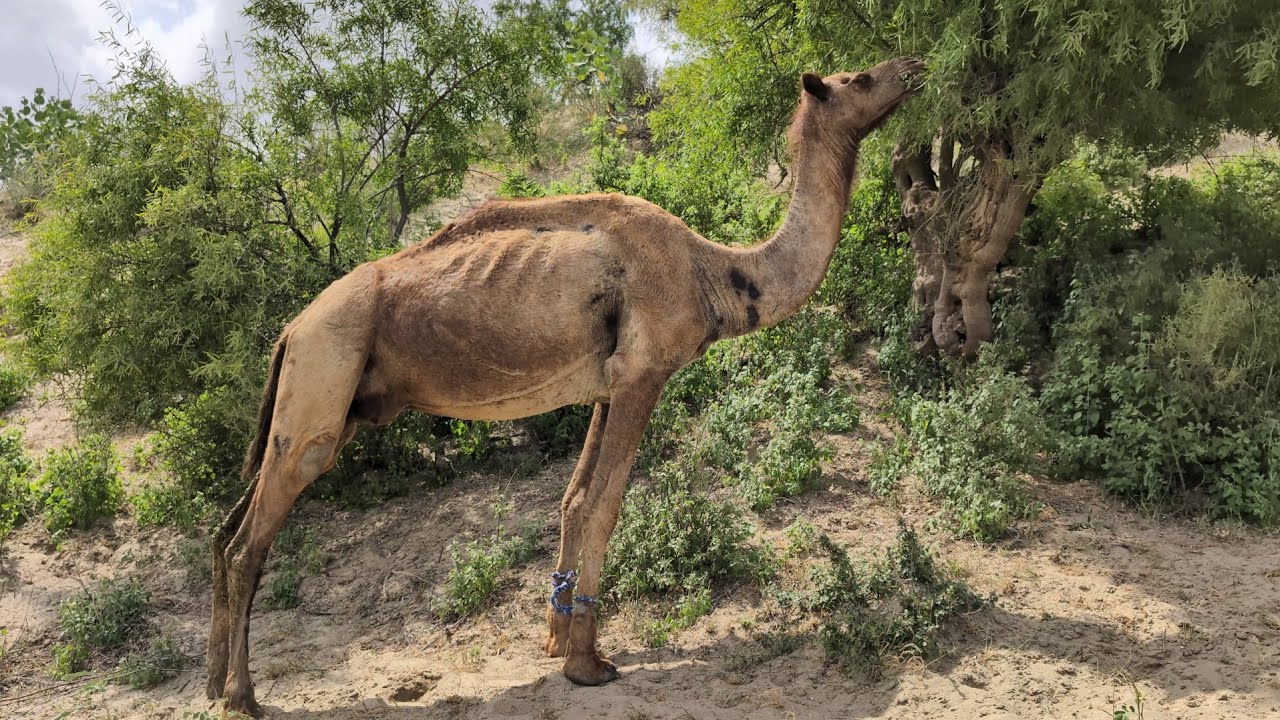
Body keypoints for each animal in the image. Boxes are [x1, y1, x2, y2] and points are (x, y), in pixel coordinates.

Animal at [206, 56, 924, 716]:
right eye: (859, 78)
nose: (914, 67)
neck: (716, 275)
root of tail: (290, 330)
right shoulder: (643, 374)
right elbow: (606, 505)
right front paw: (588, 663)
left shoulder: (606, 387)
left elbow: (574, 500)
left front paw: (555, 643)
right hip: (322, 381)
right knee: (248, 544)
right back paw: (243, 695)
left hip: (330, 401)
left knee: (224, 531)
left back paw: (214, 681)